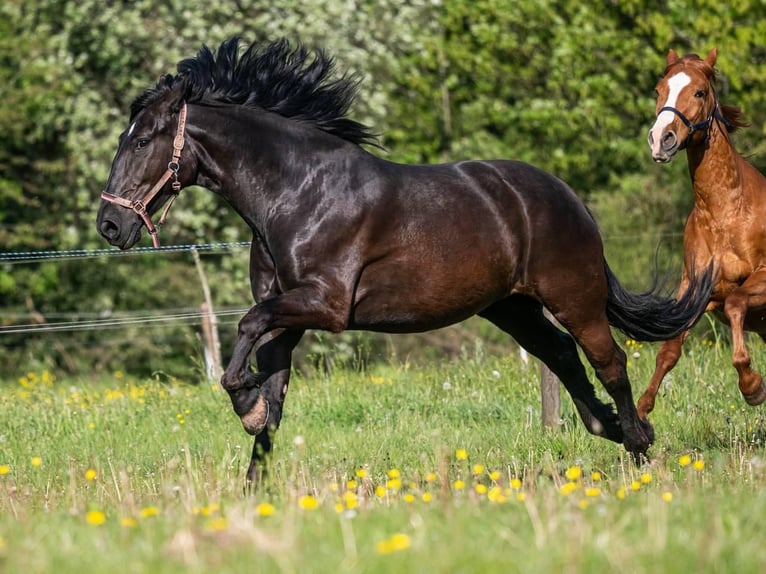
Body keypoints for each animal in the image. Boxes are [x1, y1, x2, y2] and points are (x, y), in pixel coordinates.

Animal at [96, 38, 712, 484]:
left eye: (144, 139)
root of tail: (570, 199)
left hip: (573, 296)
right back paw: (606, 427)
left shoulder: (325, 305)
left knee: (610, 362)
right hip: (511, 307)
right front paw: (253, 483)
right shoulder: (289, 314)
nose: (110, 225)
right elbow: (272, 395)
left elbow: (246, 336)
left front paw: (245, 410)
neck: (297, 190)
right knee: (561, 354)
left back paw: (638, 443)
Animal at [640, 47, 760, 420]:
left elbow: (736, 301)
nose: (660, 139)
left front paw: (752, 386)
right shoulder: (695, 290)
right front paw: (640, 410)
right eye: (658, 89)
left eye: (699, 92)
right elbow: (669, 350)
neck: (725, 213)